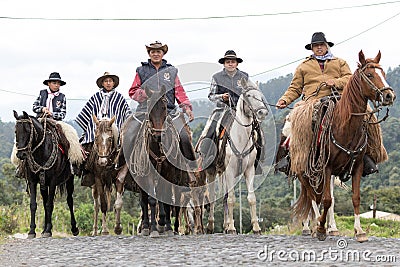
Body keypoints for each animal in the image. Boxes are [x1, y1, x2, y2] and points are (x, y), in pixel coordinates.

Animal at [13, 111, 79, 239]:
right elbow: (34, 205)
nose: (21, 154)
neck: (42, 151)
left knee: (69, 201)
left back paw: (74, 229)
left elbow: (50, 205)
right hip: (44, 185)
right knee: (44, 202)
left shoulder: (53, 181)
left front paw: (48, 230)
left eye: (28, 130)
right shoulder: (33, 181)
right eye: (16, 131)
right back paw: (44, 229)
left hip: (69, 180)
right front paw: (32, 231)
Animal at [200, 78, 268, 234]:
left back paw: (225, 224)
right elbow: (231, 199)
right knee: (213, 197)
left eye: (260, 95)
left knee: (224, 197)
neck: (240, 137)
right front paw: (232, 227)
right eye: (248, 95)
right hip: (212, 172)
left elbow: (251, 198)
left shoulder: (249, 170)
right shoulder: (230, 170)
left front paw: (256, 227)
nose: (262, 112)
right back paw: (211, 225)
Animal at [290, 50, 396, 243]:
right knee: (312, 196)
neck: (344, 127)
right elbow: (326, 200)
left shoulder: (358, 166)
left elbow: (355, 198)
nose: (389, 96)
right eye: (370, 75)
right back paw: (315, 225)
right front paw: (321, 228)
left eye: (383, 73)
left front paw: (359, 231)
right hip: (303, 171)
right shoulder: (326, 167)